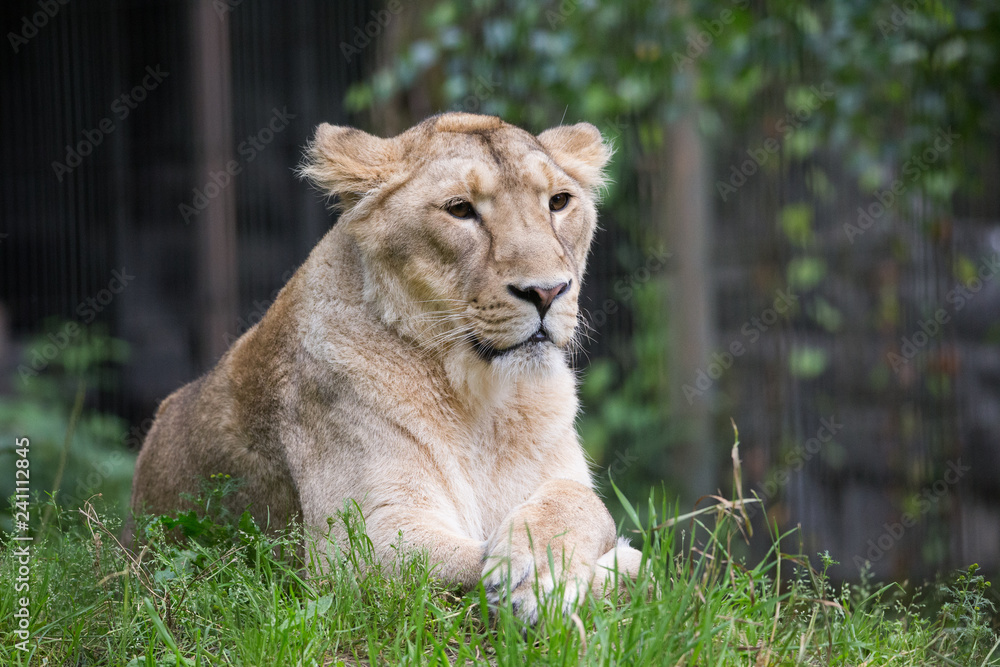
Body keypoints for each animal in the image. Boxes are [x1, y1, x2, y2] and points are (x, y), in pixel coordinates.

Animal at [130, 112, 642, 622]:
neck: (488, 403)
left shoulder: (559, 477)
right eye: (460, 209)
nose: (547, 291)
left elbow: (584, 502)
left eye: (558, 202)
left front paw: (545, 566)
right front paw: (542, 578)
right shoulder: (357, 544)